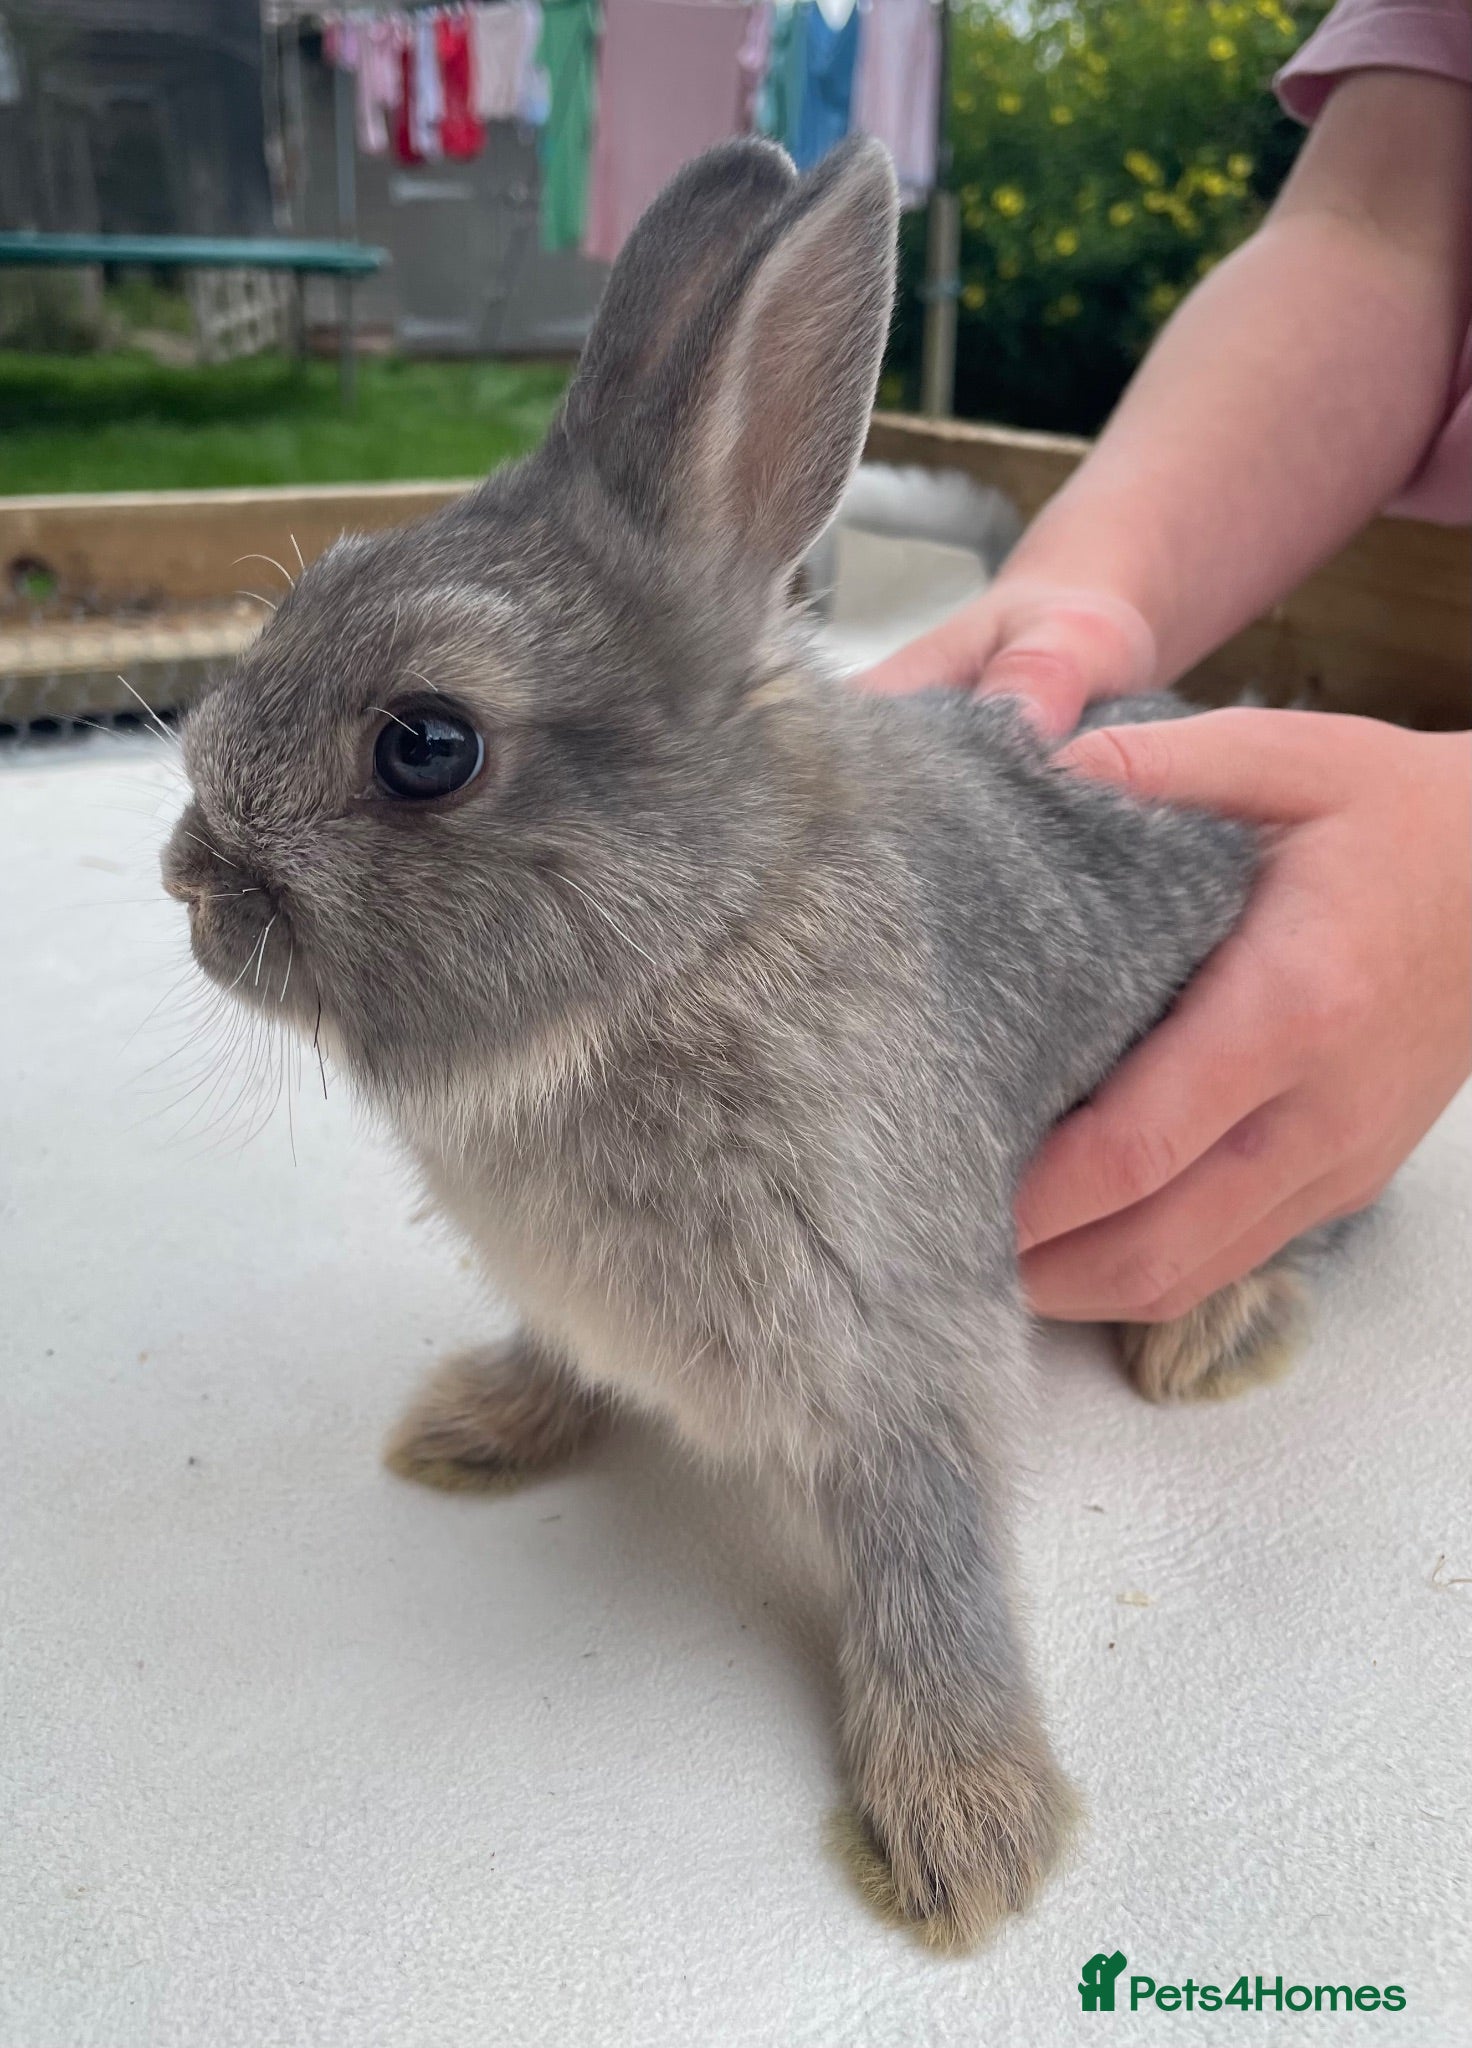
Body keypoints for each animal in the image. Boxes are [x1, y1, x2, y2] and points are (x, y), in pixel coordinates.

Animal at [161, 135, 1331, 1949]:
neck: (690, 939)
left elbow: (930, 1563)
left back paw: (1213, 1336)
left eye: (426, 745)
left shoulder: (898, 1340)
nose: (188, 879)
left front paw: (968, 1831)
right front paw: (474, 1428)